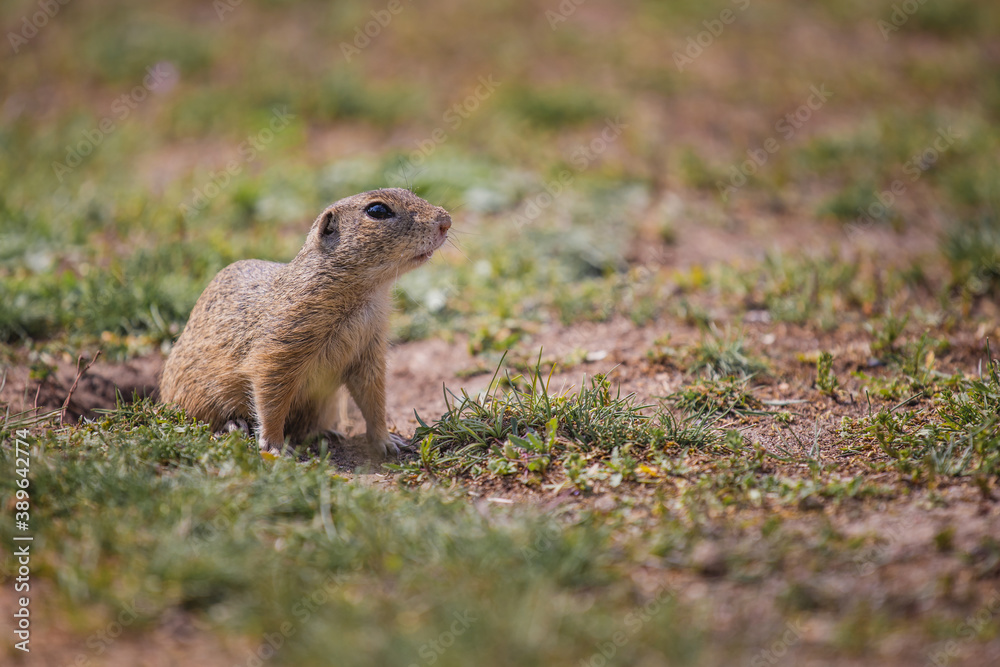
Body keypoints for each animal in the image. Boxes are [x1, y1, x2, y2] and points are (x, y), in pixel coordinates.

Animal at [159, 188, 452, 459]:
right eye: (378, 210)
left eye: (409, 192)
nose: (446, 220)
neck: (368, 296)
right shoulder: (278, 349)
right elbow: (270, 398)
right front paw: (274, 446)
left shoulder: (370, 350)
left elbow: (374, 401)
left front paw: (388, 442)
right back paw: (233, 425)